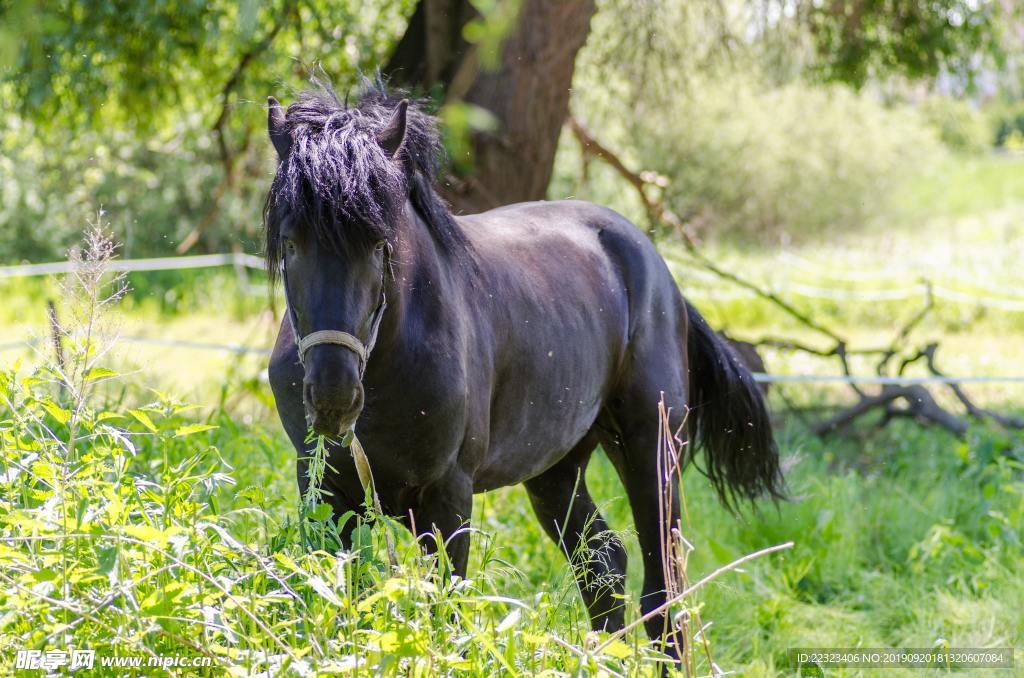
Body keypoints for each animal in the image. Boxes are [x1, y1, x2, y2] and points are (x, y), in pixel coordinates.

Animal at [266, 85, 782, 655]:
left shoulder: (447, 498)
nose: (333, 397)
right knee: (603, 562)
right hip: (558, 468)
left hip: (652, 449)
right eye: (290, 243)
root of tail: (660, 274)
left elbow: (443, 613)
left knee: (662, 593)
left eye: (380, 244)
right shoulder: (327, 491)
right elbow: (343, 604)